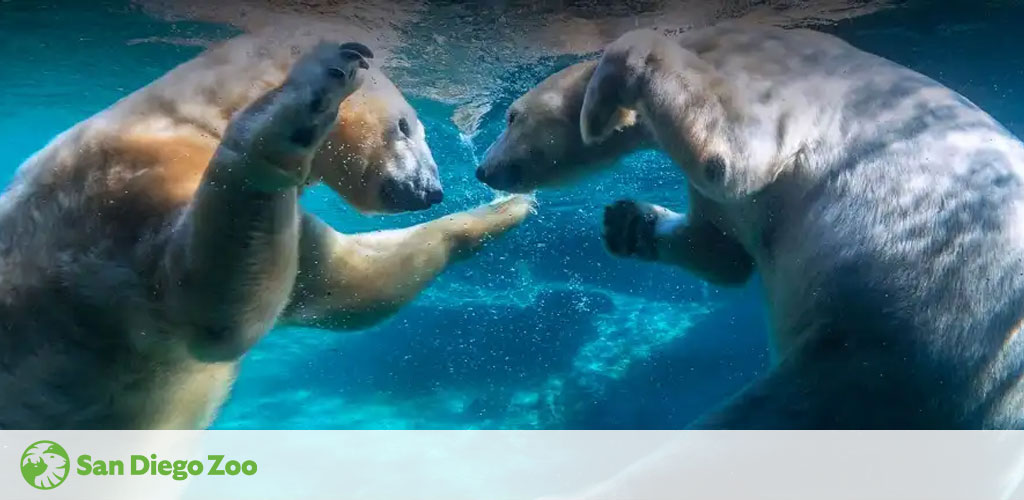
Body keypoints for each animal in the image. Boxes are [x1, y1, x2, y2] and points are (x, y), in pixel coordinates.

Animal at [0, 32, 536, 430]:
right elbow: (211, 304)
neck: (187, 118)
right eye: (405, 125)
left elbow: (343, 282)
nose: (431, 190)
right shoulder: (122, 190)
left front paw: (507, 207)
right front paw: (312, 93)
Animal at [475, 22, 1024, 430]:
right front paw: (626, 223)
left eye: (510, 115)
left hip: (900, 335)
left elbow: (734, 155)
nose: (482, 170)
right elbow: (723, 246)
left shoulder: (768, 75)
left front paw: (598, 108)